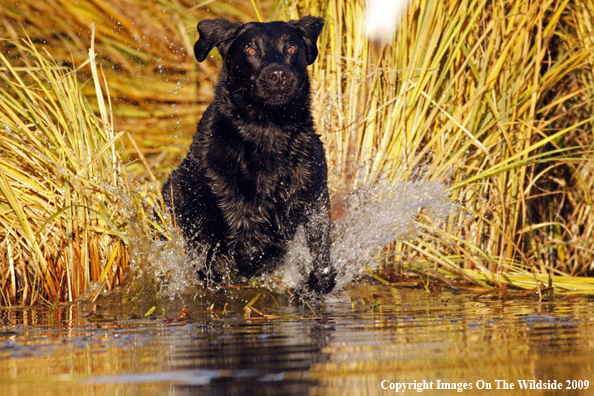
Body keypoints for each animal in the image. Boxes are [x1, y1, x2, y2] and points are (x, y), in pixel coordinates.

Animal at [160, 15, 336, 294]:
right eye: (251, 51)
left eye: (291, 49)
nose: (278, 75)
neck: (269, 132)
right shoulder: (219, 194)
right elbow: (244, 242)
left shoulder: (314, 188)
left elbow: (320, 242)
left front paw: (318, 281)